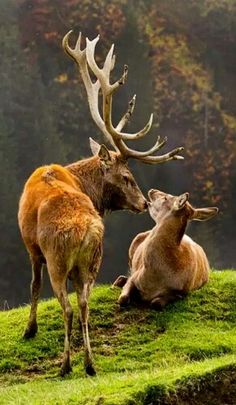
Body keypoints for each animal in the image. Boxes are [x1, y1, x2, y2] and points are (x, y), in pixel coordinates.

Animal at [18, 32, 184, 376]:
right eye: (126, 176)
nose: (143, 202)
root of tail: (86, 231)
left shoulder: (32, 247)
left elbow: (33, 286)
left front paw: (30, 330)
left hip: (58, 259)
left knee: (68, 306)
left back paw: (67, 365)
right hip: (94, 261)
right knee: (84, 304)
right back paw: (90, 363)